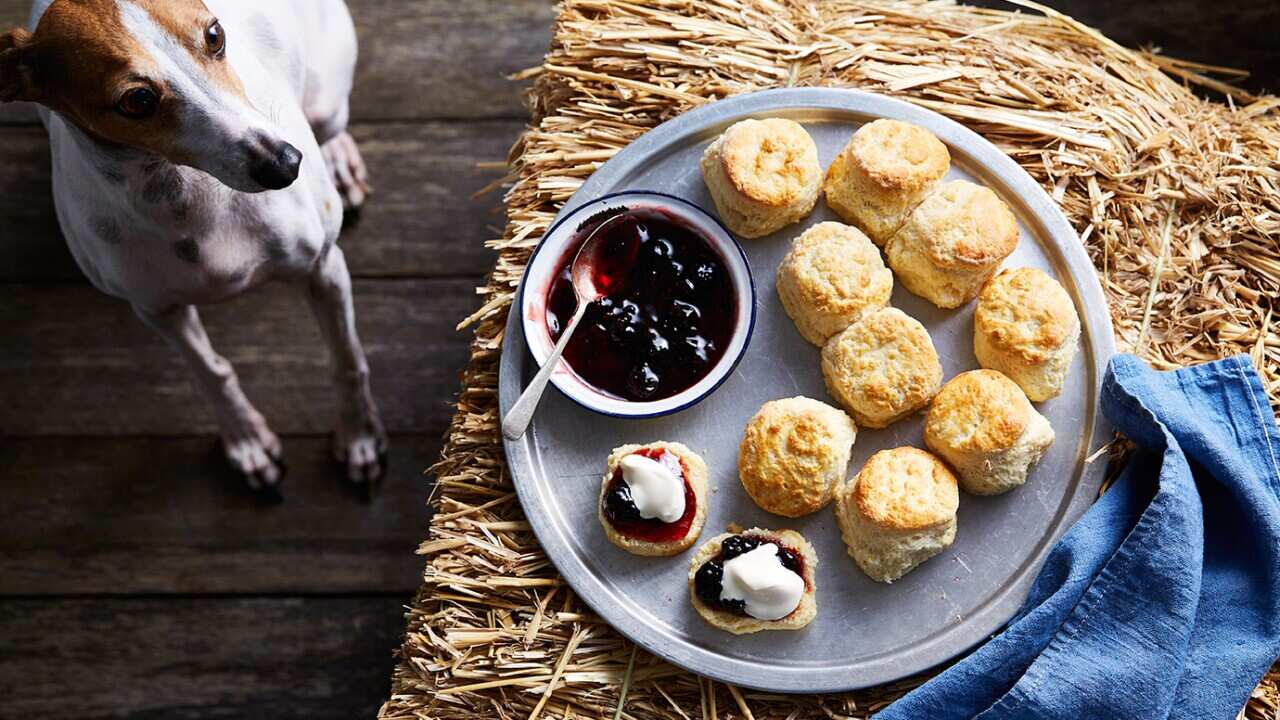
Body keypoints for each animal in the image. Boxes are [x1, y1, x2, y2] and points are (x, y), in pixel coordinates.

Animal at [2, 0, 386, 499]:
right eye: (137, 100)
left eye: (215, 36)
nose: (284, 163)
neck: (189, 199)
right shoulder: (157, 310)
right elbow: (210, 370)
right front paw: (247, 442)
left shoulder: (323, 268)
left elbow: (347, 359)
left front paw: (360, 438)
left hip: (326, 102)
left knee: (330, 122)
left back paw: (338, 159)